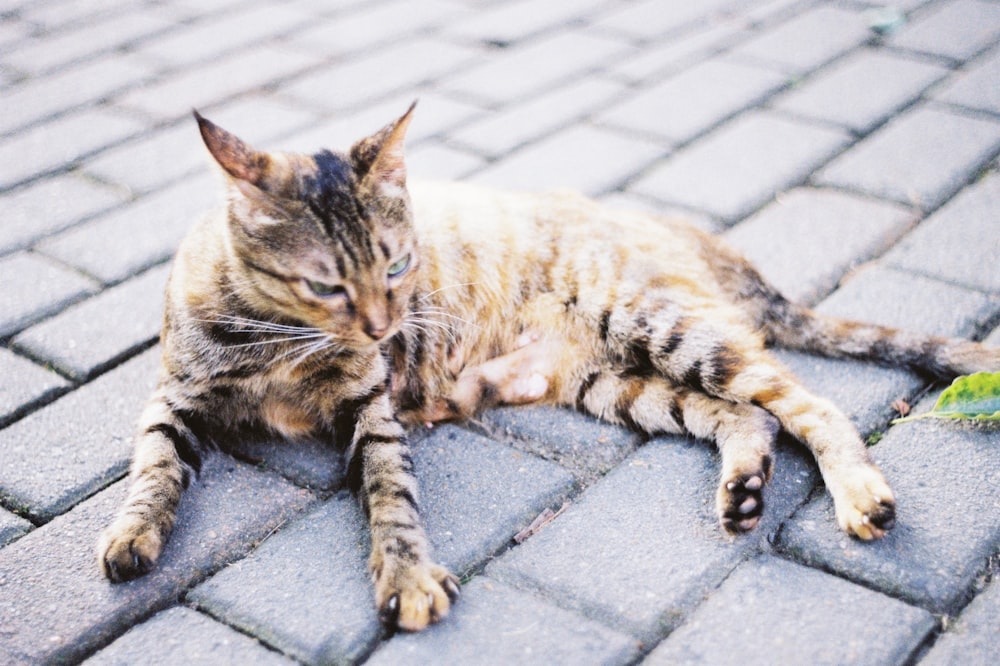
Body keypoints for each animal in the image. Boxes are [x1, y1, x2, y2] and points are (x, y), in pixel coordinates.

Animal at [97, 102, 1000, 628]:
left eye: (398, 266)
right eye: (327, 284)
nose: (385, 326)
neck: (284, 345)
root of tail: (675, 227)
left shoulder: (371, 405)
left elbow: (390, 494)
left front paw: (407, 574)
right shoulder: (173, 398)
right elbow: (152, 470)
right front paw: (133, 534)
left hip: (662, 327)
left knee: (808, 404)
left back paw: (861, 495)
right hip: (621, 385)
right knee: (743, 415)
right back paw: (744, 489)